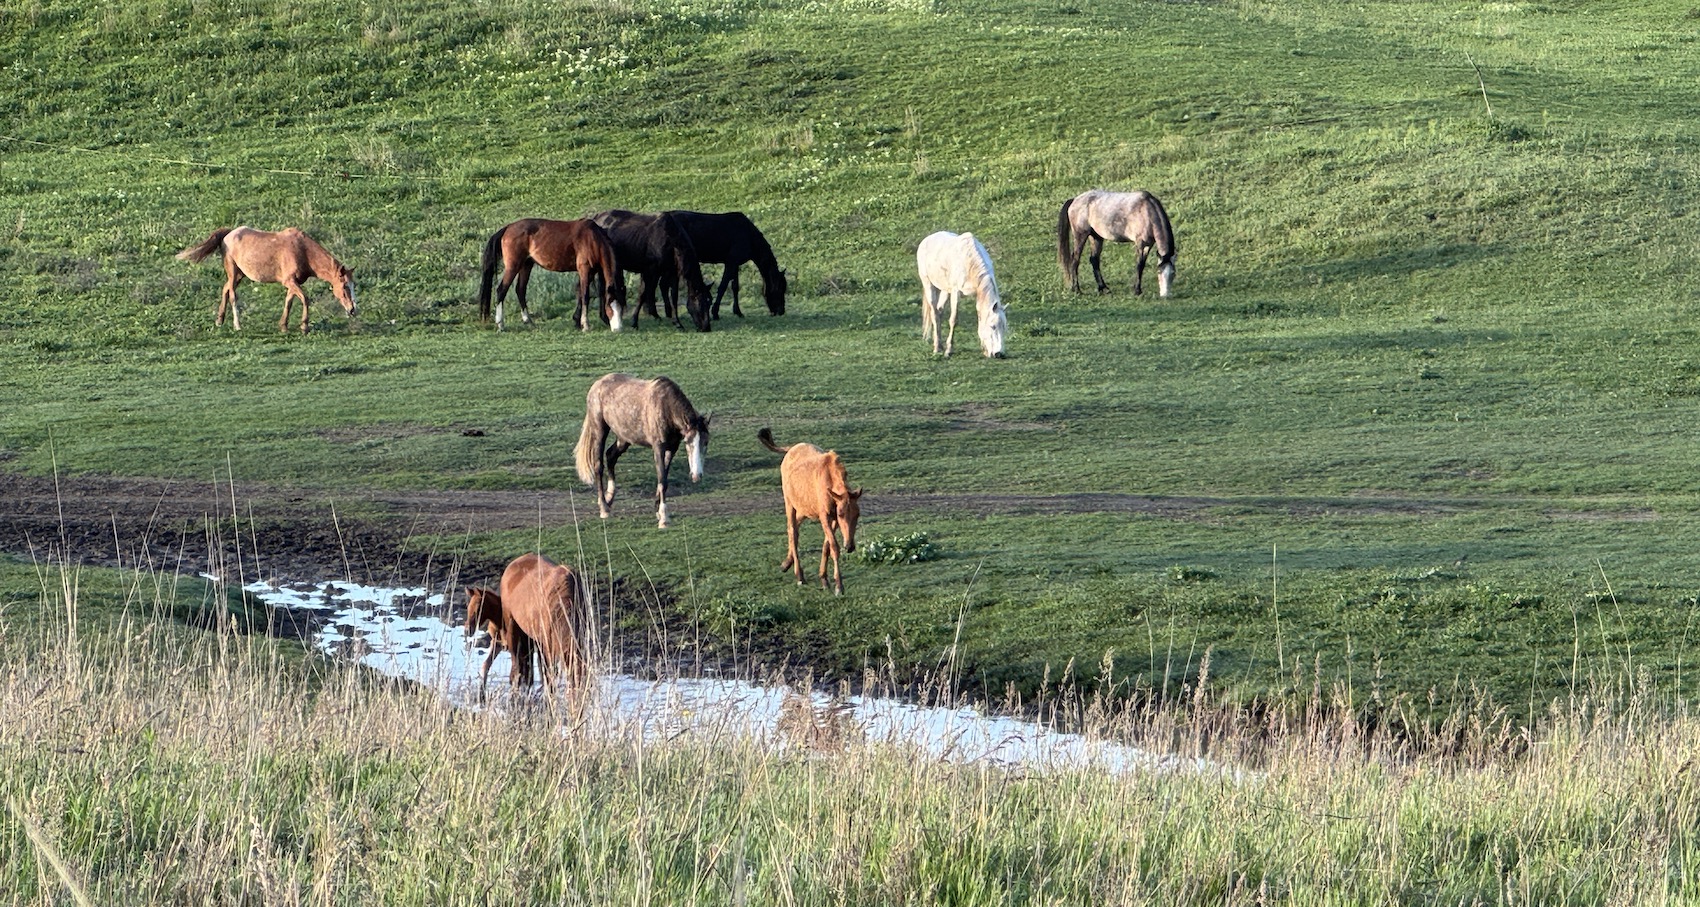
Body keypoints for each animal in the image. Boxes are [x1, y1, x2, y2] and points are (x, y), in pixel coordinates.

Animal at [175, 226, 357, 333]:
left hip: (239, 275)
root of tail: (228, 234)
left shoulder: (293, 283)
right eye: (345, 286)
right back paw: (237, 325)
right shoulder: (290, 281)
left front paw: (283, 325)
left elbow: (289, 302)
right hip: (233, 272)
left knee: (225, 289)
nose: (353, 310)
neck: (302, 250)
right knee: (232, 295)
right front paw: (304, 326)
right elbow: (305, 299)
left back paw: (220, 320)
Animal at [477, 218, 626, 332]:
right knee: (501, 290)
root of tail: (508, 228)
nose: (618, 329)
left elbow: (583, 293)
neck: (592, 238)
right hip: (513, 267)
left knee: (520, 290)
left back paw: (529, 321)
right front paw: (585, 325)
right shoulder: (584, 269)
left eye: (622, 307)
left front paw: (578, 321)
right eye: (610, 307)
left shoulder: (592, 272)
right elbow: (585, 296)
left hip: (526, 265)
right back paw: (500, 324)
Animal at [574, 373, 710, 528]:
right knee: (598, 465)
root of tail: (597, 384)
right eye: (688, 442)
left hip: (624, 438)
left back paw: (609, 498)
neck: (666, 408)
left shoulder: (672, 449)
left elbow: (664, 479)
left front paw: (658, 511)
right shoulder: (658, 447)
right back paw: (604, 508)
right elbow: (662, 480)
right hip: (599, 430)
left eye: (706, 442)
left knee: (610, 456)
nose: (696, 475)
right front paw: (664, 518)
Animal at [758, 427, 862, 595]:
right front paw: (839, 586)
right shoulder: (825, 516)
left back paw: (786, 563)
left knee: (795, 529)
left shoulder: (831, 519)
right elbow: (834, 547)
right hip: (790, 503)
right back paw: (799, 576)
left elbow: (826, 546)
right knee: (793, 531)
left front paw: (824, 579)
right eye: (841, 514)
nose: (849, 546)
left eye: (857, 514)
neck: (829, 479)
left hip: (804, 508)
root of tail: (790, 449)